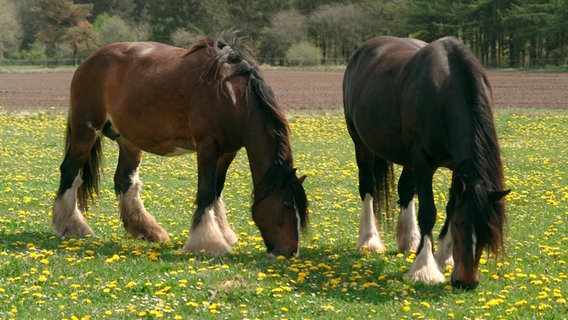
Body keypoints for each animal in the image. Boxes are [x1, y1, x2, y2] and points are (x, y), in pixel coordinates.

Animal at [51, 35, 308, 258]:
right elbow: (206, 191)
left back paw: (147, 230)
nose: (290, 252)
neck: (232, 94)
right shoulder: (207, 146)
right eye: (287, 204)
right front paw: (208, 242)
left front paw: (223, 234)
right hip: (86, 130)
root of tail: (88, 62)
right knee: (71, 171)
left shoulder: (228, 151)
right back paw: (72, 227)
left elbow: (217, 190)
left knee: (125, 180)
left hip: (129, 140)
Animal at [342, 35, 510, 290]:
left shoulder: (456, 168)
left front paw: (444, 256)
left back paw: (409, 241)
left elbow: (450, 206)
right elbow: (429, 213)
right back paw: (369, 241)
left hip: (407, 158)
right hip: (361, 145)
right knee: (367, 189)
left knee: (405, 190)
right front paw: (424, 268)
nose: (466, 282)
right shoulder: (423, 163)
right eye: (461, 225)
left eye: (487, 231)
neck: (444, 93)